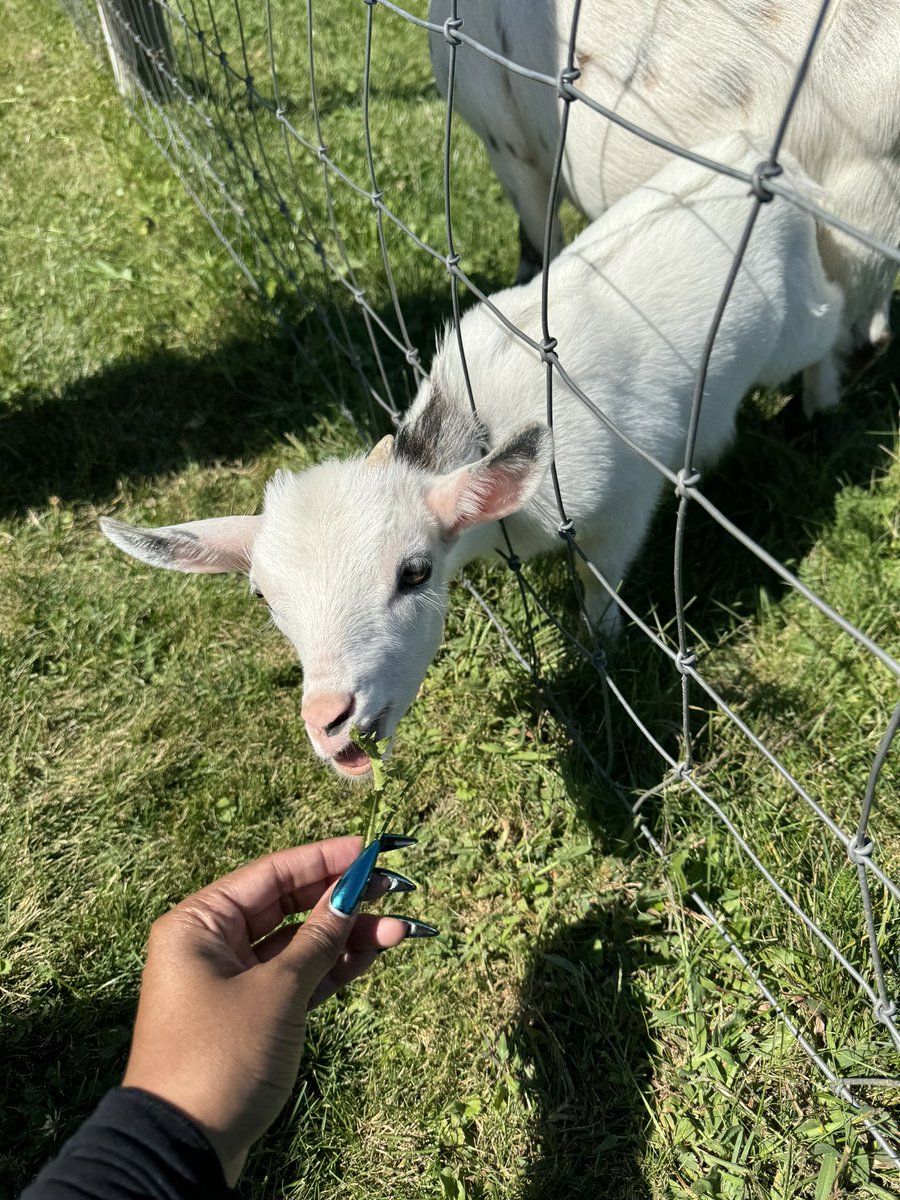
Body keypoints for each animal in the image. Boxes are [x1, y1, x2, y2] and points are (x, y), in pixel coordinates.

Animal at [100, 134, 842, 778]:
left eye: (415, 572)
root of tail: (747, 150)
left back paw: (827, 399)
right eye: (262, 594)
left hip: (794, 327)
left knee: (831, 314)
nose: (329, 723)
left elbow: (600, 593)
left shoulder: (620, 507)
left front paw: (597, 654)